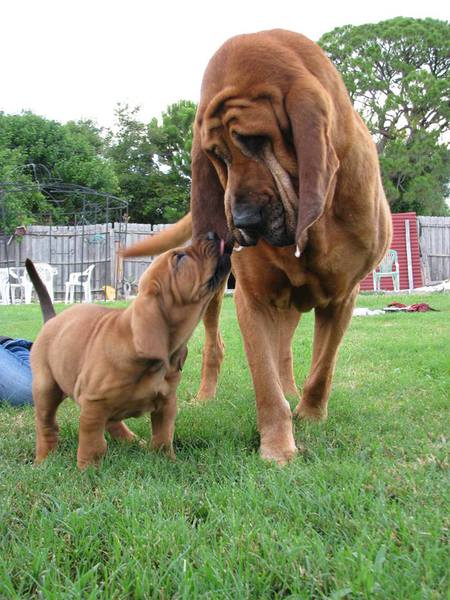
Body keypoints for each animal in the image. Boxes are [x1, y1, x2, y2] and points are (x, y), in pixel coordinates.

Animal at [27, 234, 230, 468]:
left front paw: (167, 461)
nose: (213, 235)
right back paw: (43, 459)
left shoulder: (167, 402)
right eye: (179, 258)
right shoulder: (93, 404)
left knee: (112, 423)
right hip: (46, 387)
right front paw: (87, 469)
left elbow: (163, 436)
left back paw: (131, 440)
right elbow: (92, 444)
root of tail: (51, 320)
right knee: (46, 424)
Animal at [121, 30, 392, 466]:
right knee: (215, 346)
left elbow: (323, 367)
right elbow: (265, 383)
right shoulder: (254, 300)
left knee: (286, 353)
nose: (241, 223)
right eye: (216, 154)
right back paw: (205, 397)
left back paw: (294, 392)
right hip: (212, 291)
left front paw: (310, 414)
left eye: (254, 140)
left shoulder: (343, 298)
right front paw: (278, 448)